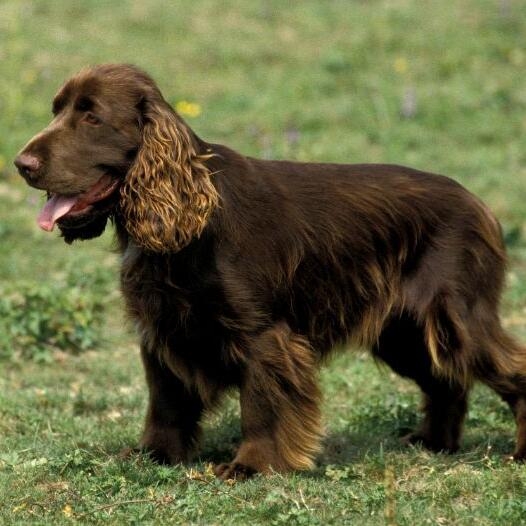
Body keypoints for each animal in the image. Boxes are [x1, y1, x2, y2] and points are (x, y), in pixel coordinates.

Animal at [14, 64, 524, 480]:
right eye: (57, 110)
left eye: (92, 117)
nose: (22, 164)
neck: (191, 222)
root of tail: (480, 205)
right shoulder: (161, 329)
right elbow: (166, 403)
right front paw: (153, 455)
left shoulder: (263, 335)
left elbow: (258, 405)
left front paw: (251, 466)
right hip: (403, 332)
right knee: (446, 381)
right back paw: (434, 444)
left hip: (456, 317)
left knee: (508, 371)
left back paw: (517, 451)